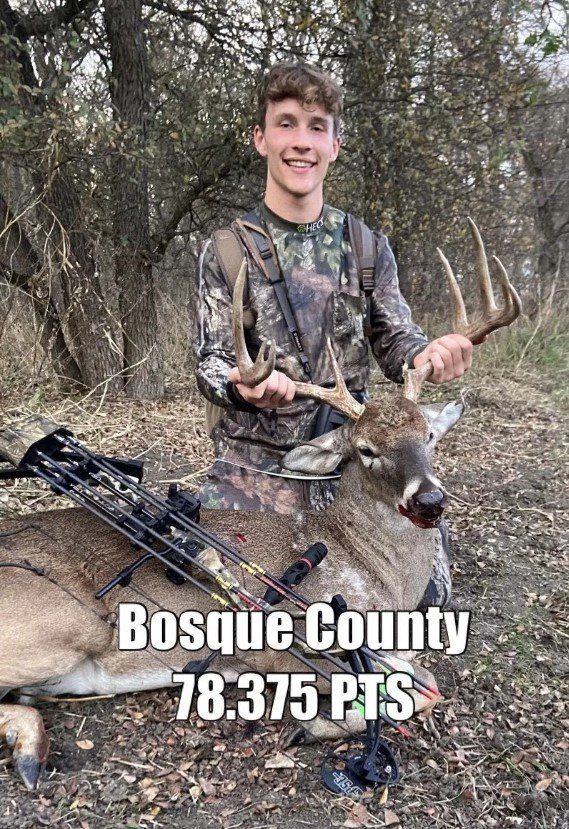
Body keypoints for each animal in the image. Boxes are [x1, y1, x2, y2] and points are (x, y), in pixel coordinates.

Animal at [0, 220, 521, 790]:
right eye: (366, 450)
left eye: (428, 434)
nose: (429, 499)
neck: (376, 571)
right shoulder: (282, 647)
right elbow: (411, 691)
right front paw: (310, 727)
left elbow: (423, 682)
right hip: (63, 623)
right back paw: (30, 749)